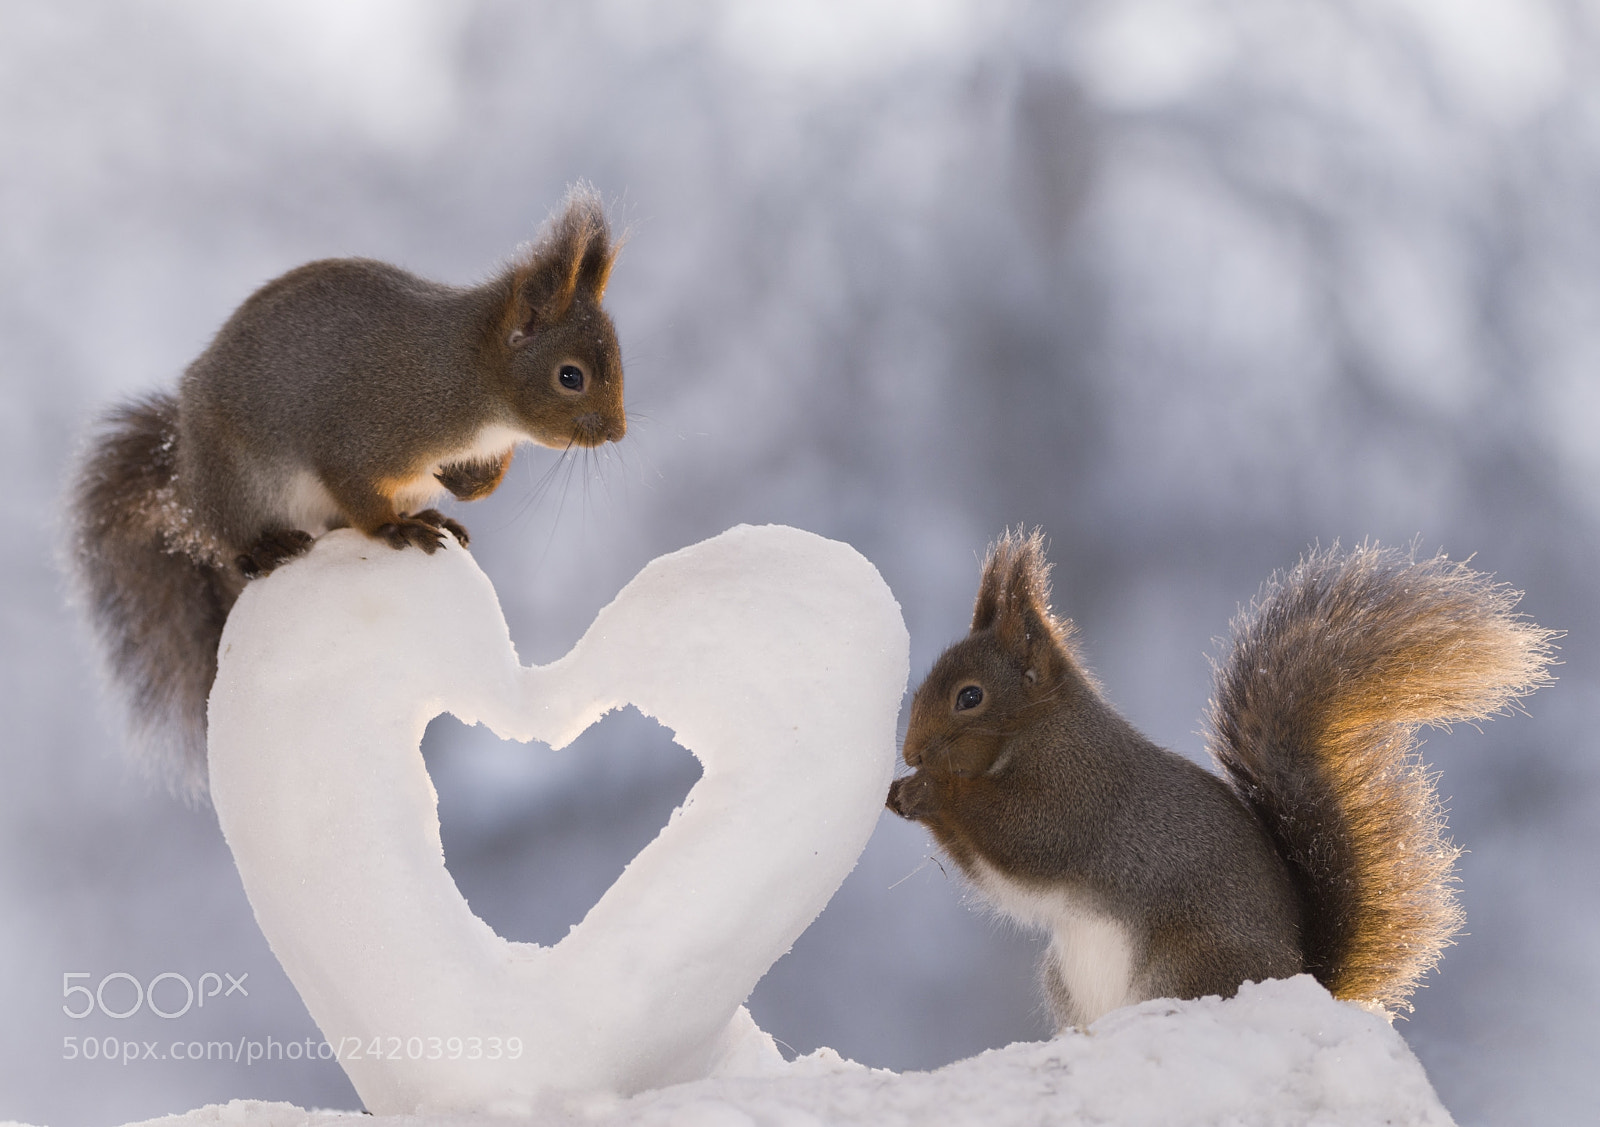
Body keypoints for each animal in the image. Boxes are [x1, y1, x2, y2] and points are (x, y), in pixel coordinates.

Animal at [67, 186, 626, 800]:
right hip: (240, 483)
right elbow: (357, 491)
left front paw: (468, 486)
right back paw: (269, 546)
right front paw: (392, 527)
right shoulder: (365, 433)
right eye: (569, 376)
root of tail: (185, 484)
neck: (470, 376)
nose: (616, 432)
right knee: (235, 546)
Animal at [887, 530, 1555, 1028]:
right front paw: (902, 790)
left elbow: (1023, 836)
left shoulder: (1081, 794)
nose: (911, 749)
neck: (1040, 730)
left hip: (1192, 964)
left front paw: (933, 788)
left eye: (969, 697)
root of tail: (1299, 976)